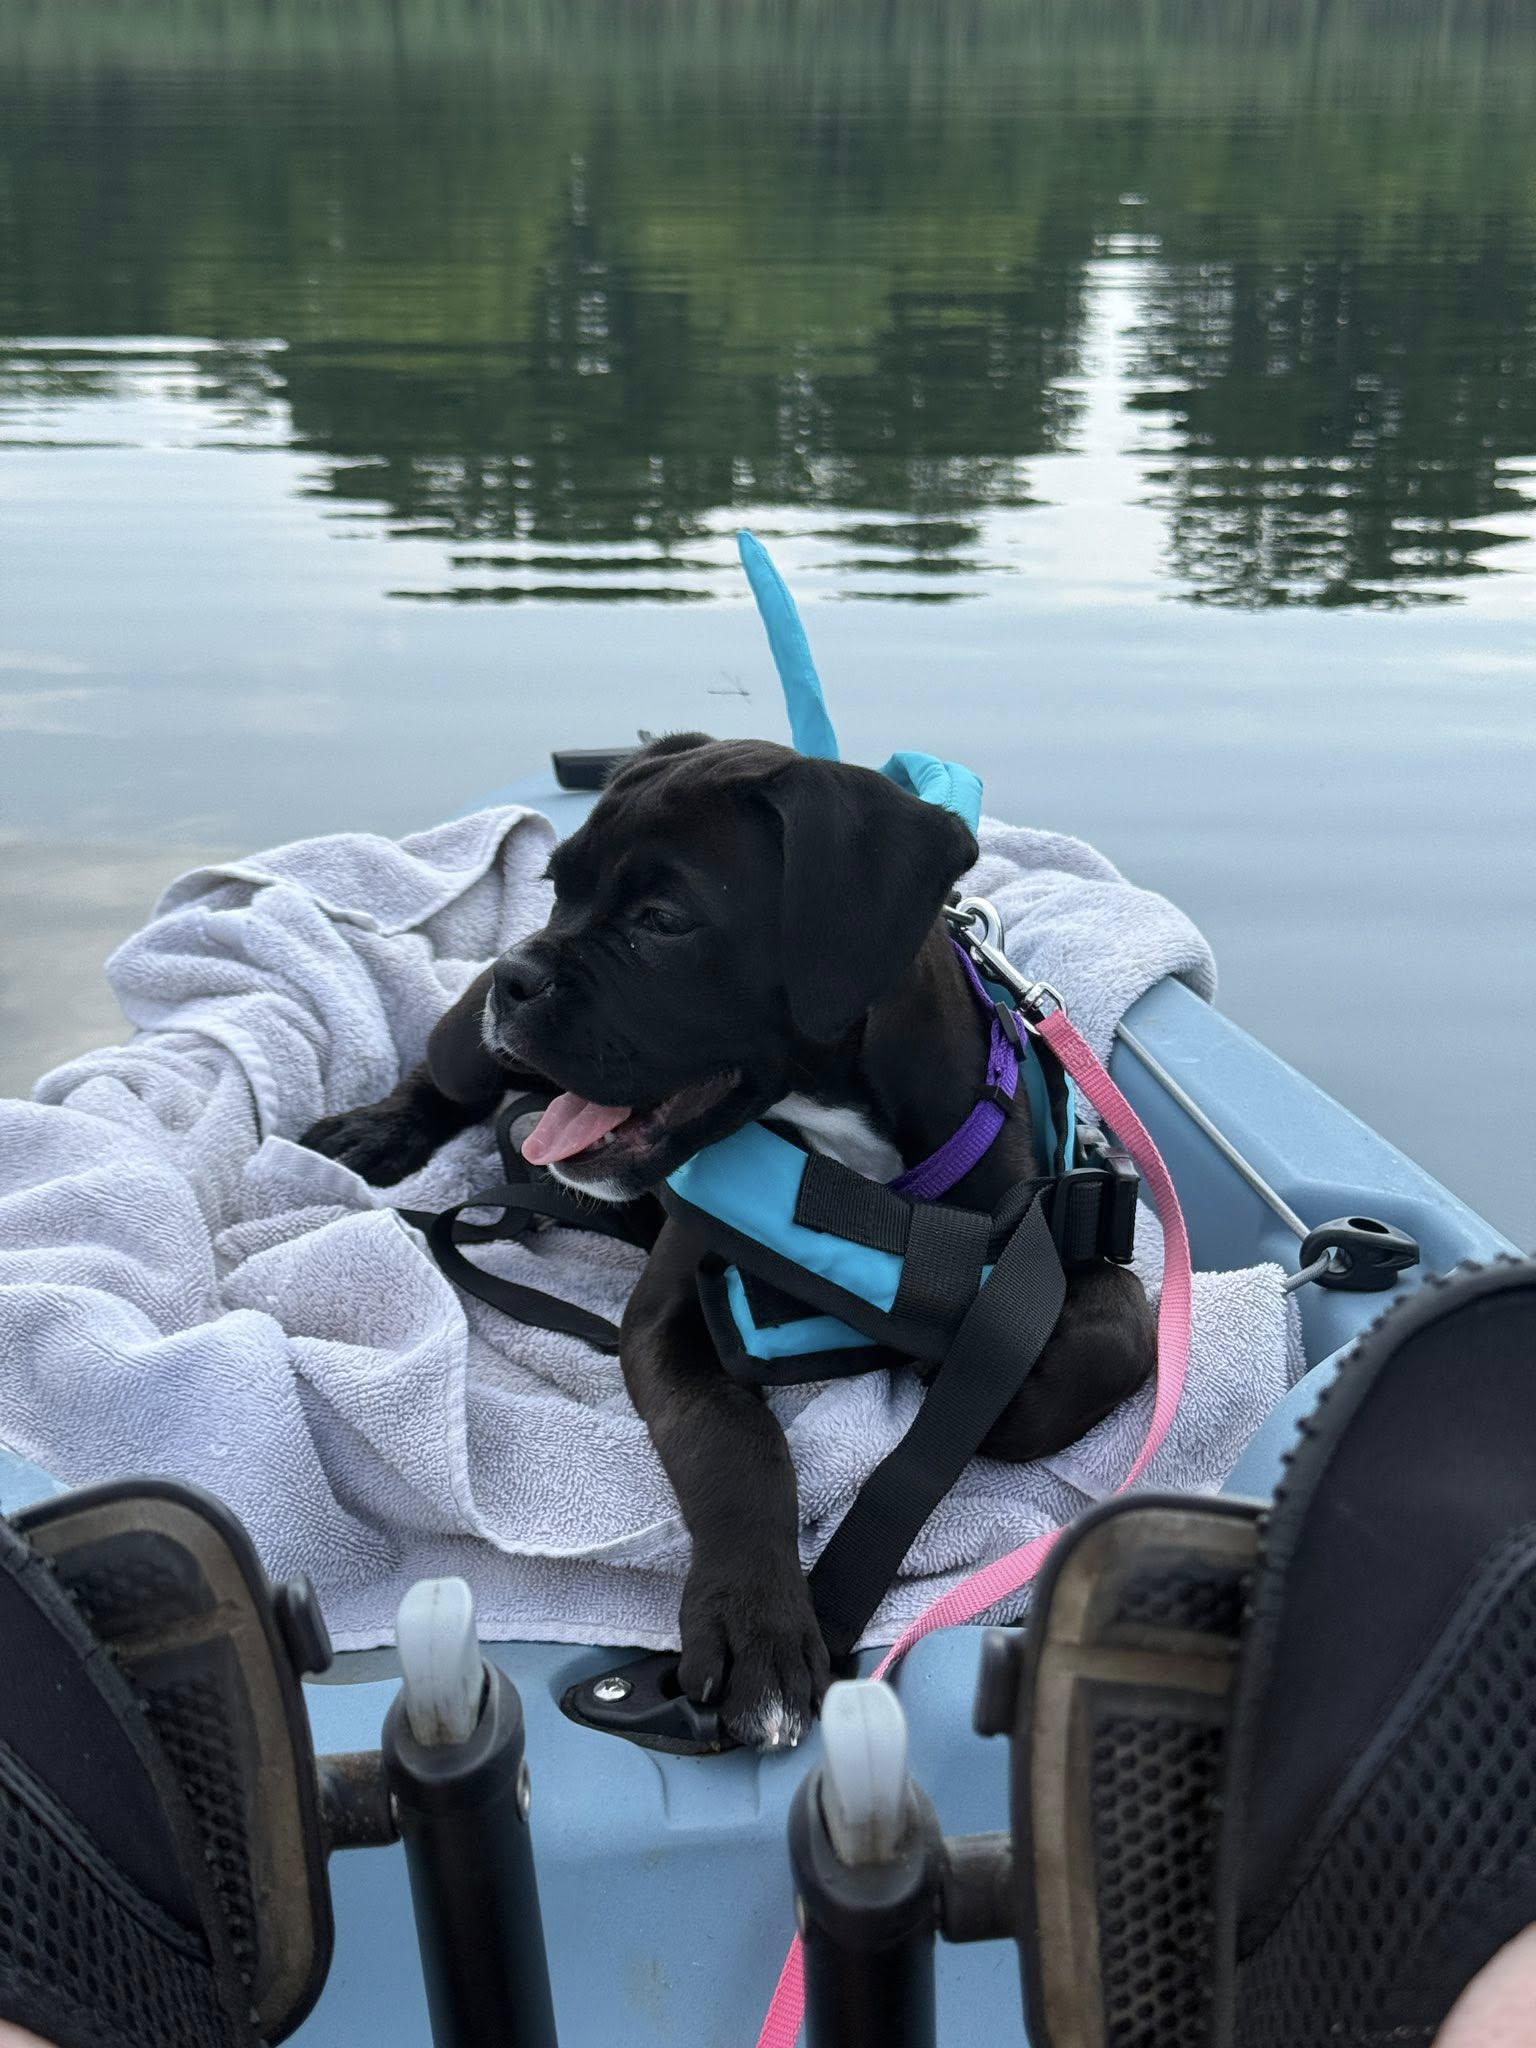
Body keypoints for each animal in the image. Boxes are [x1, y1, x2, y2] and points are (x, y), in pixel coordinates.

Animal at [303, 736, 1156, 1748]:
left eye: (665, 921)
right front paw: (759, 1633)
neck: (849, 1153)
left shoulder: (1052, 1226)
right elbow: (734, 1444)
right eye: (554, 888)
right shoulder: (670, 1318)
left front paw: (998, 1391)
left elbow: (1116, 1332)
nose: (517, 971)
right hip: (473, 1047)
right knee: (439, 1078)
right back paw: (377, 1132)